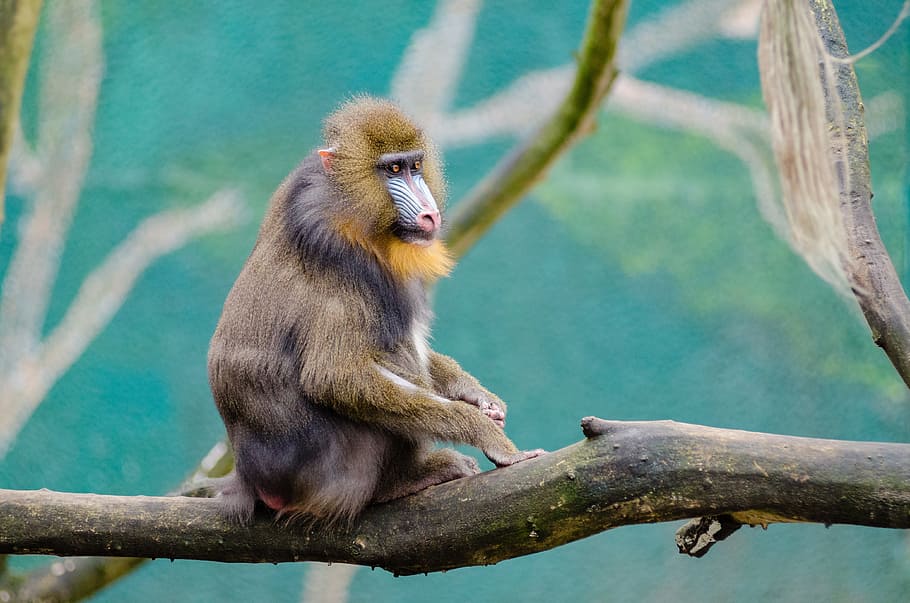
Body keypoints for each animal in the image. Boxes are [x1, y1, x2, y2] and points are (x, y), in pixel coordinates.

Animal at [207, 97, 544, 524]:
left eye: (415, 165)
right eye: (393, 170)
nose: (430, 215)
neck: (351, 206)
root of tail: (250, 481)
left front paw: (477, 395)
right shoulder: (342, 265)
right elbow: (335, 376)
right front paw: (487, 435)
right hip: (339, 476)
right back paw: (403, 481)